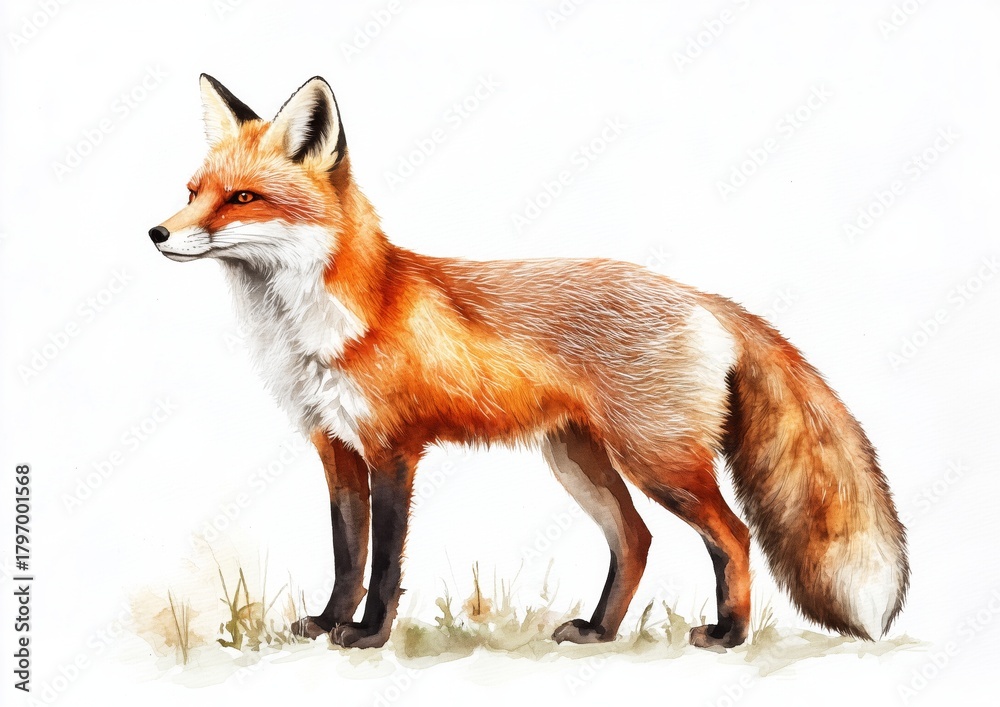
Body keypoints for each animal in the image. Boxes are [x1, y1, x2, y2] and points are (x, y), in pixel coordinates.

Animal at [149, 74, 909, 650]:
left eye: (243, 198)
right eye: (192, 192)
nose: (156, 232)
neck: (327, 324)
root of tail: (701, 296)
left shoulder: (394, 448)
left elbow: (385, 560)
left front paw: (366, 636)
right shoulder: (334, 445)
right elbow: (346, 554)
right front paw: (329, 622)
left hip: (659, 462)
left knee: (734, 535)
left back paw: (728, 634)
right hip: (578, 459)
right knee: (636, 538)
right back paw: (599, 631)